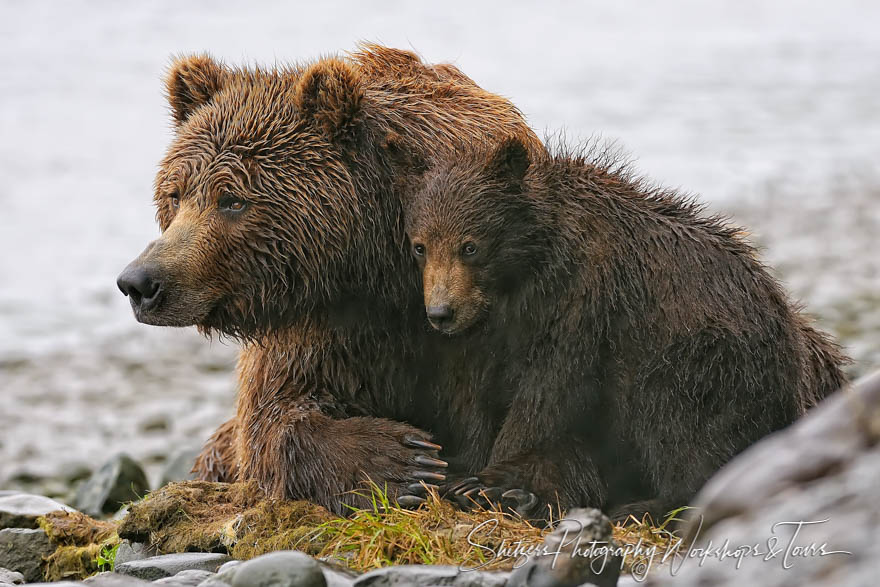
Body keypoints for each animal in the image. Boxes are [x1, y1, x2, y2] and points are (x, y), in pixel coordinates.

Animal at [117, 44, 544, 516]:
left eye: (232, 200)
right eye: (176, 194)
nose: (140, 282)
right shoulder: (321, 325)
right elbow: (273, 420)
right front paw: (401, 463)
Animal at [402, 139, 848, 524]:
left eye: (469, 246)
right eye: (421, 246)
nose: (441, 312)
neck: (533, 265)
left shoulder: (587, 301)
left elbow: (547, 394)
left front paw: (487, 481)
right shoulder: (500, 327)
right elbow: (478, 393)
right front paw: (457, 464)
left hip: (704, 358)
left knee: (678, 424)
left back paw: (645, 504)